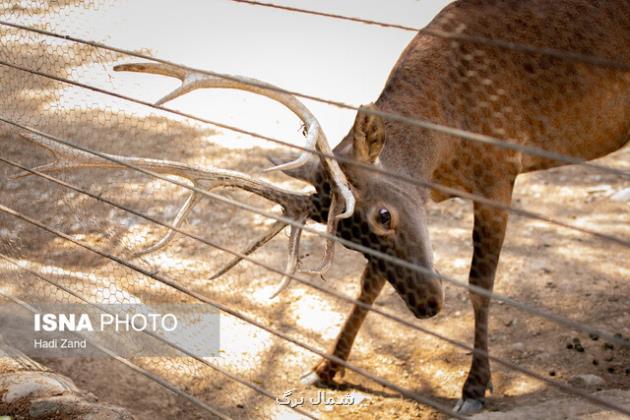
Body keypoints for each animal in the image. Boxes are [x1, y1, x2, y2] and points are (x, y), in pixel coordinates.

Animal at [21, 0, 630, 414]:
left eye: (384, 214)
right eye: (343, 233)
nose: (429, 307)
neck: (445, 145)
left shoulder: (500, 165)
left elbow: (482, 281)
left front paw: (474, 388)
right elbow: (369, 284)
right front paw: (326, 368)